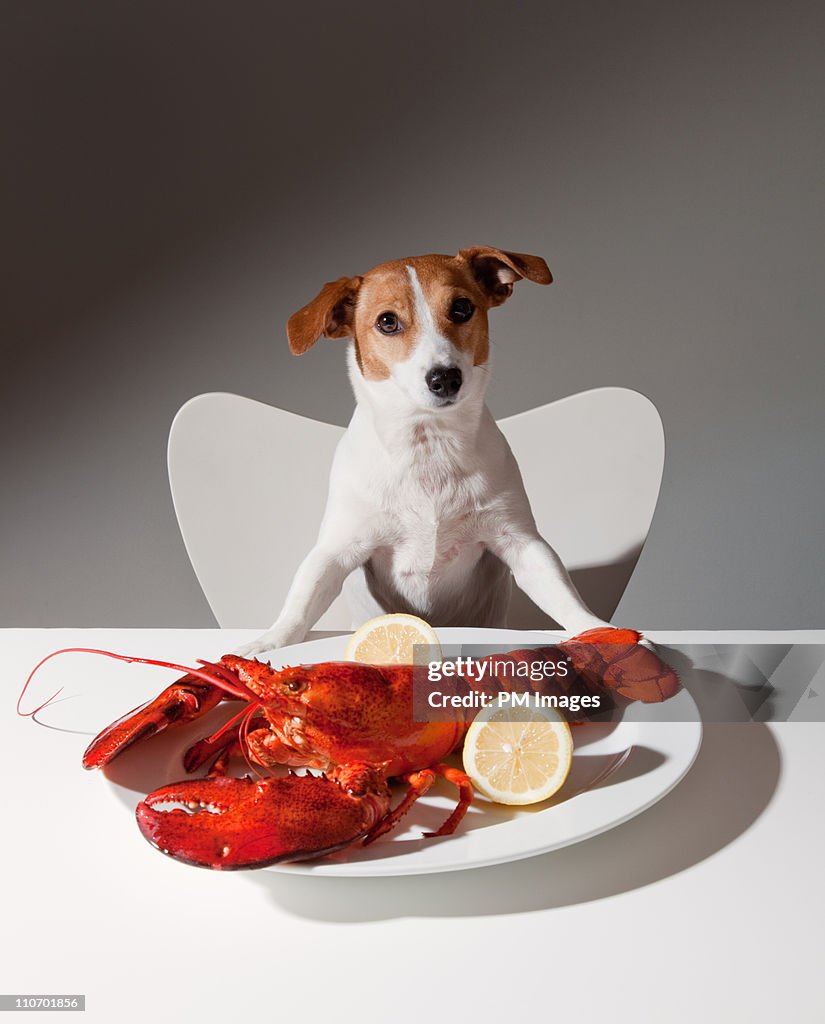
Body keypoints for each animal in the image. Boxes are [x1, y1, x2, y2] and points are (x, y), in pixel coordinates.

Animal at [235, 245, 610, 655]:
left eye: (461, 307)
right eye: (387, 322)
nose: (445, 378)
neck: (428, 445)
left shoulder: (520, 541)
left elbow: (562, 593)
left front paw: (599, 630)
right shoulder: (337, 548)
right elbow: (303, 599)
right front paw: (269, 642)